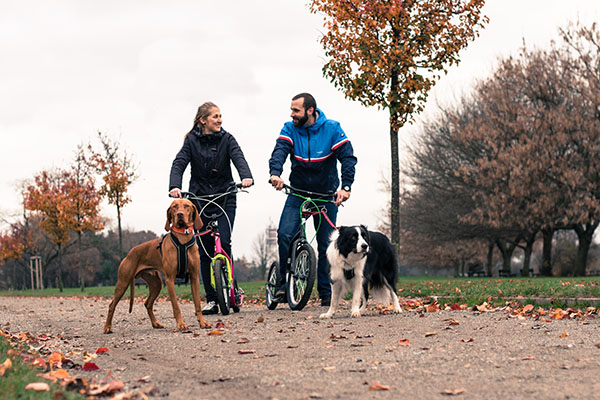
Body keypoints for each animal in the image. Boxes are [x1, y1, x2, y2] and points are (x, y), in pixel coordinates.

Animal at [104, 198, 212, 332]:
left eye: (187, 206)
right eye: (174, 206)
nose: (180, 214)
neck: (183, 238)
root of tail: (130, 253)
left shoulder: (194, 278)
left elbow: (197, 303)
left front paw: (203, 322)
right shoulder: (170, 280)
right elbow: (176, 306)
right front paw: (181, 324)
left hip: (156, 284)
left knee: (147, 303)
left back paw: (155, 323)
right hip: (123, 283)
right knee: (111, 305)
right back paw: (107, 327)